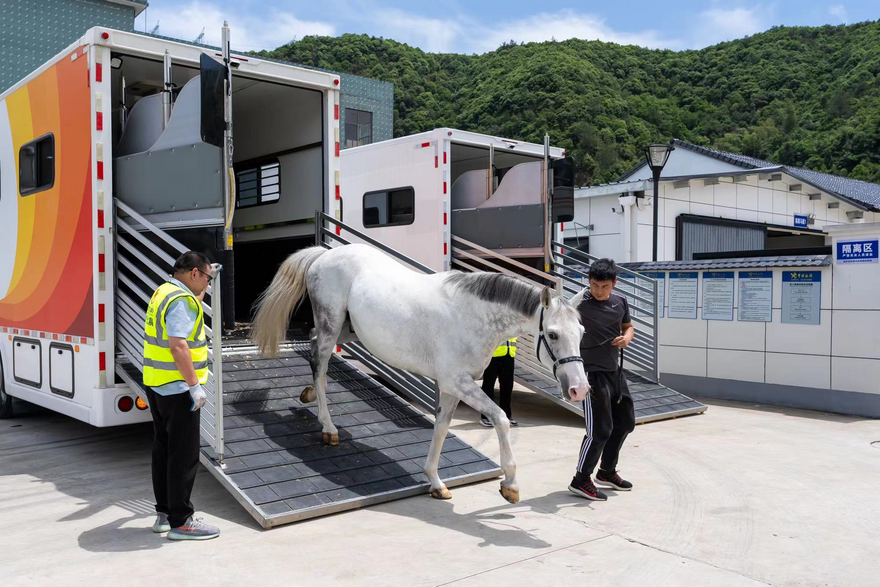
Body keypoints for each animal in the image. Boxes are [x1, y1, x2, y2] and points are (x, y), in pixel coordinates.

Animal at [251, 245, 588, 506]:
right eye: (553, 334)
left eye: (582, 331)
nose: (579, 390)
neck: (471, 313)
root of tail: (324, 255)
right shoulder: (457, 382)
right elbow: (500, 418)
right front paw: (511, 486)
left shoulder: (452, 388)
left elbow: (441, 428)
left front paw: (436, 483)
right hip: (331, 325)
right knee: (320, 364)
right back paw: (328, 426)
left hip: (347, 330)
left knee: (312, 349)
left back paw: (307, 395)